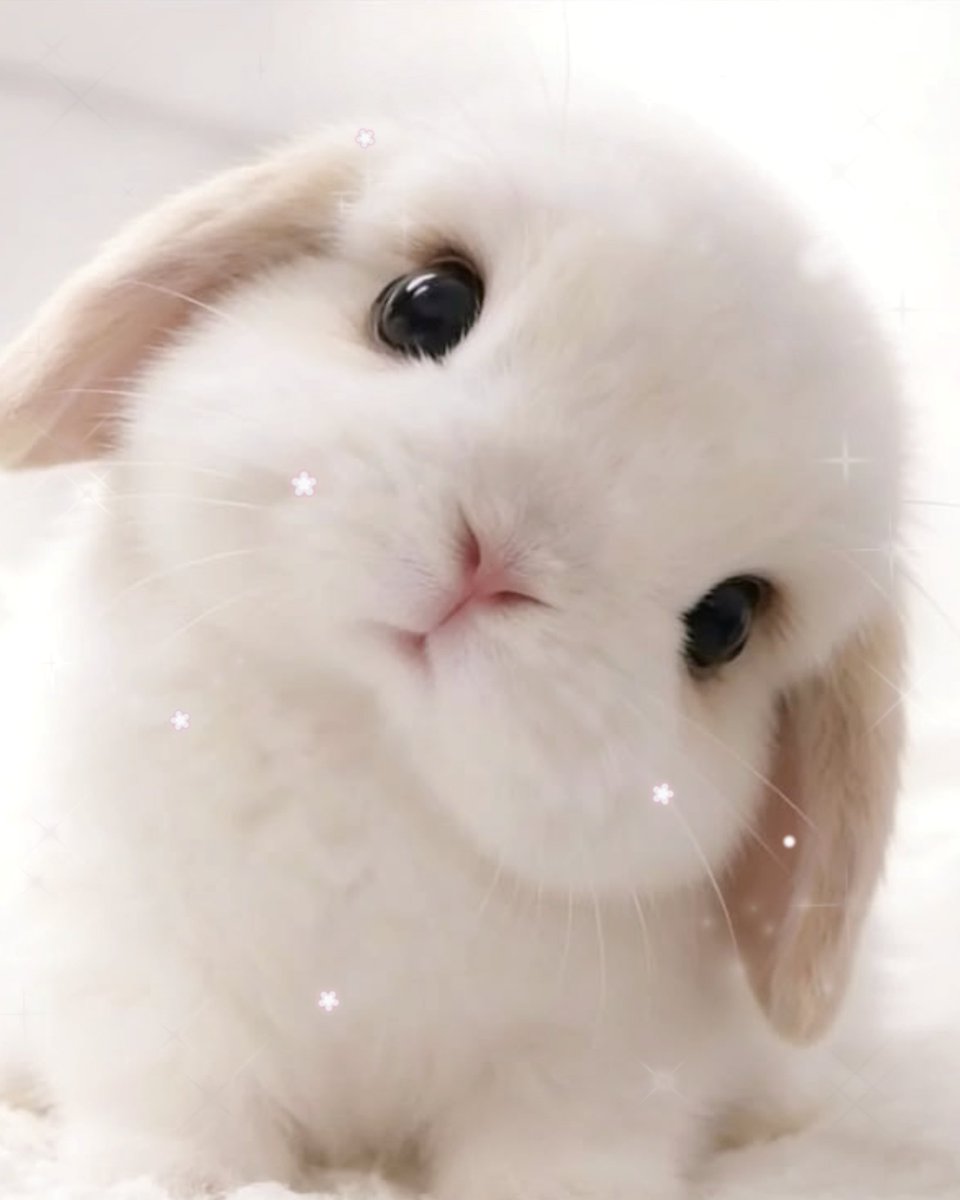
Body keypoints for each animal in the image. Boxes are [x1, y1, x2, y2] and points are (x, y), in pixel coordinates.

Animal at [0, 99, 907, 1199]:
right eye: (425, 306)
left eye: (726, 624)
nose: (496, 559)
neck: (371, 762)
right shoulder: (135, 971)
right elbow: (180, 1115)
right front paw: (170, 1182)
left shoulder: (597, 1070)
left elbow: (558, 1159)